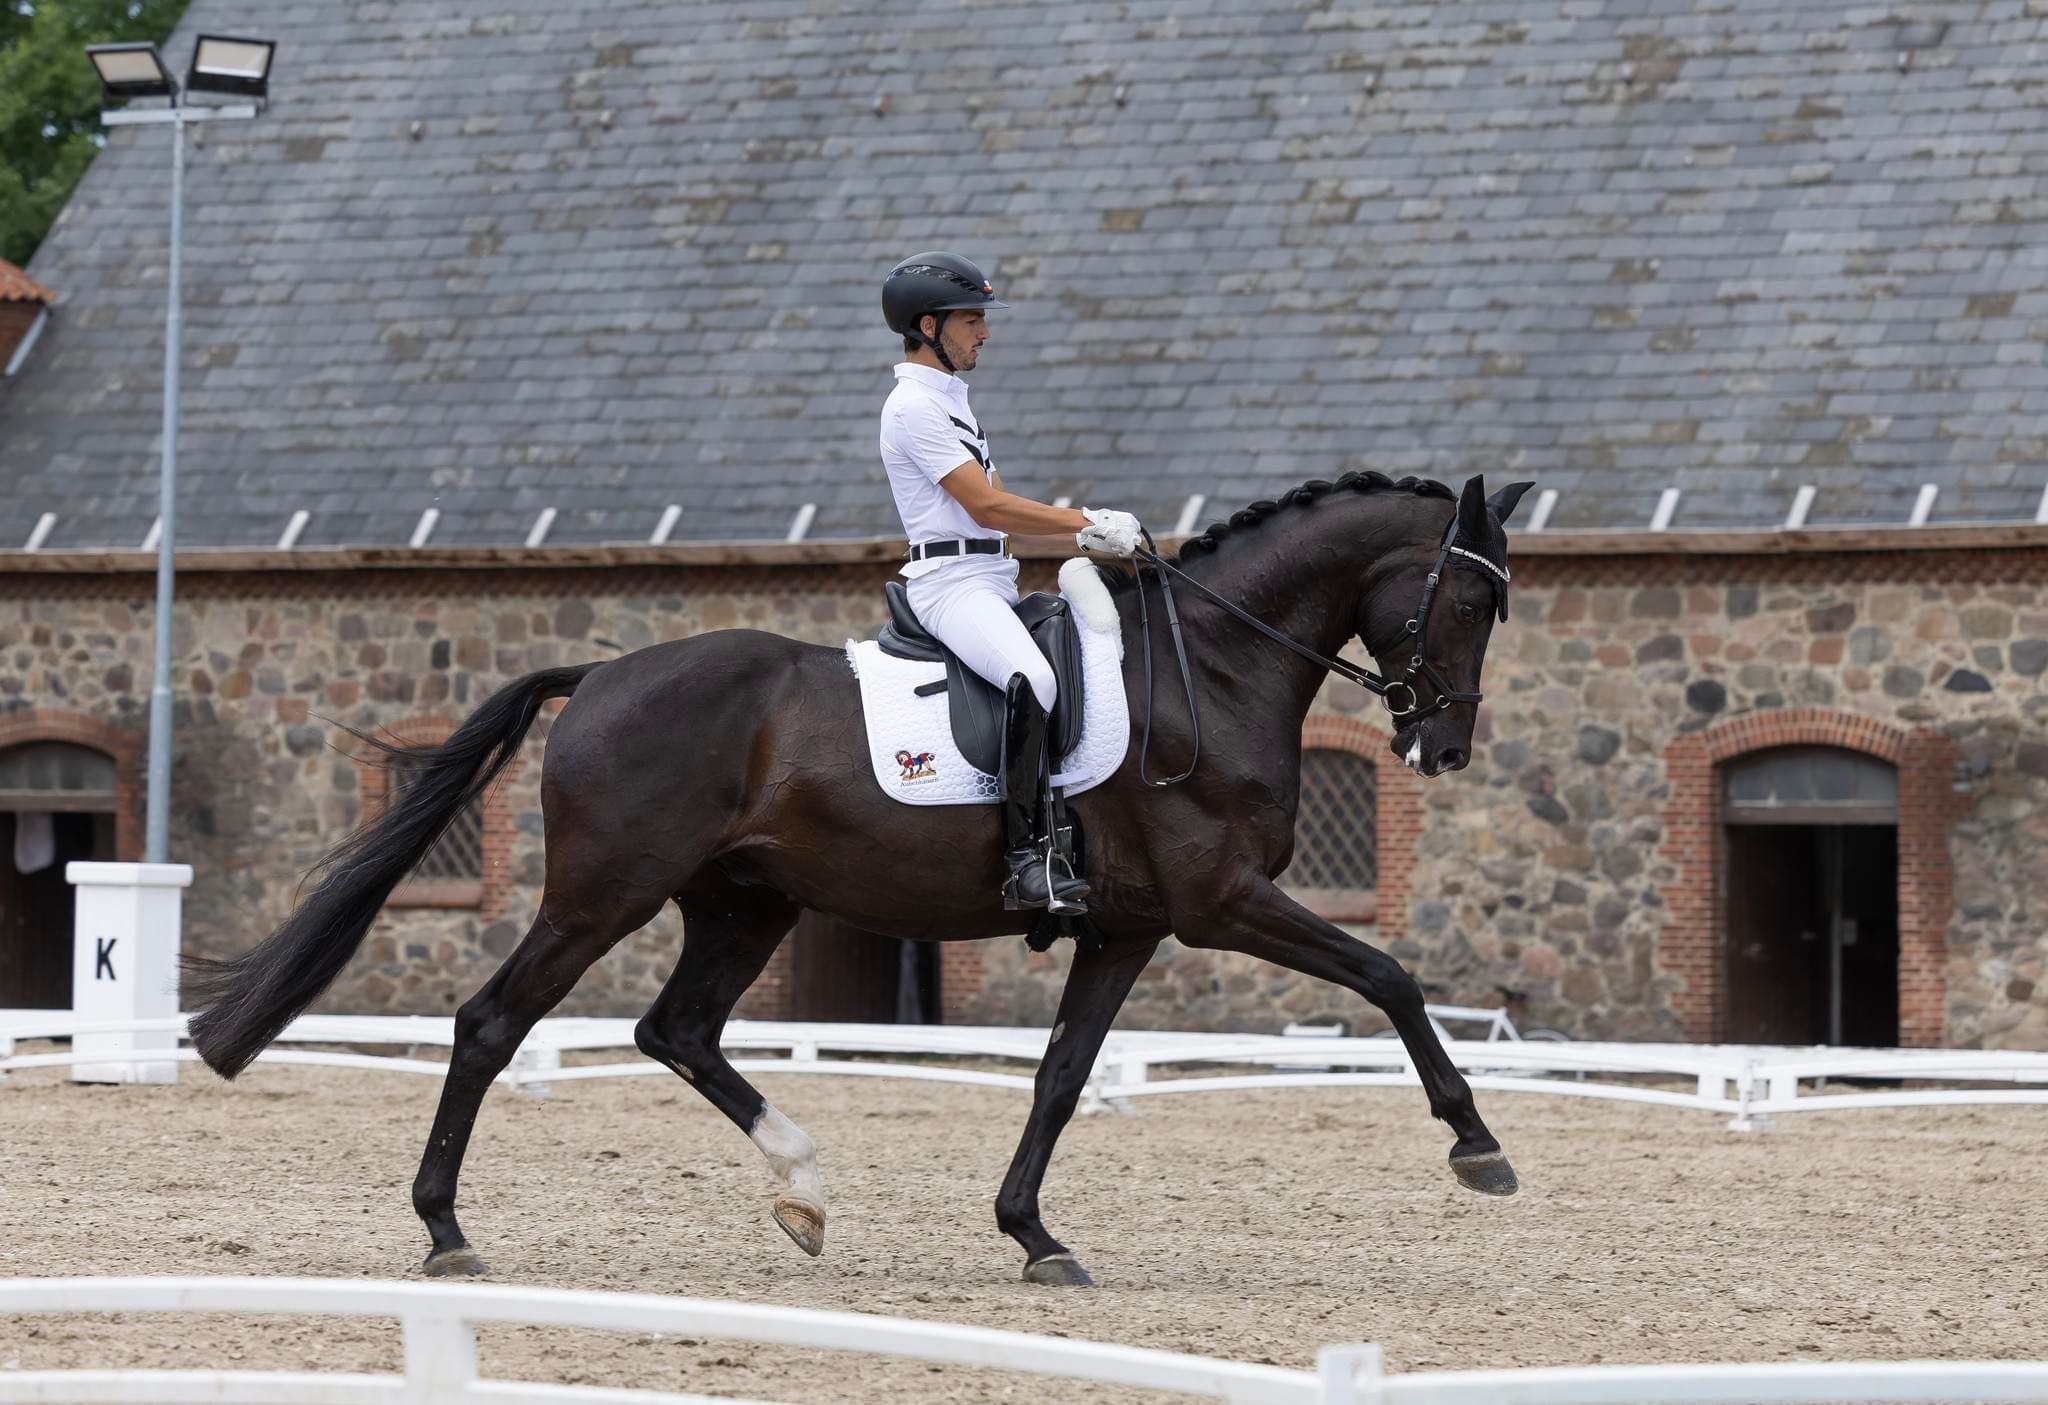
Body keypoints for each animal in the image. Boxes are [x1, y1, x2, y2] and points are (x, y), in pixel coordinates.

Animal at [192, 473, 1531, 1286]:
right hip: (603, 893)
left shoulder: (1128, 928)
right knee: (489, 1023)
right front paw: (1476, 1146)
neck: (1208, 659)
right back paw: (445, 1231)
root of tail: (603, 674)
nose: (1444, 748)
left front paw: (1032, 1234)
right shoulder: (1219, 906)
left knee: (677, 1028)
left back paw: (803, 1190)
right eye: (1467, 596)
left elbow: (1059, 1076)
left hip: (745, 901)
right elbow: (1388, 975)